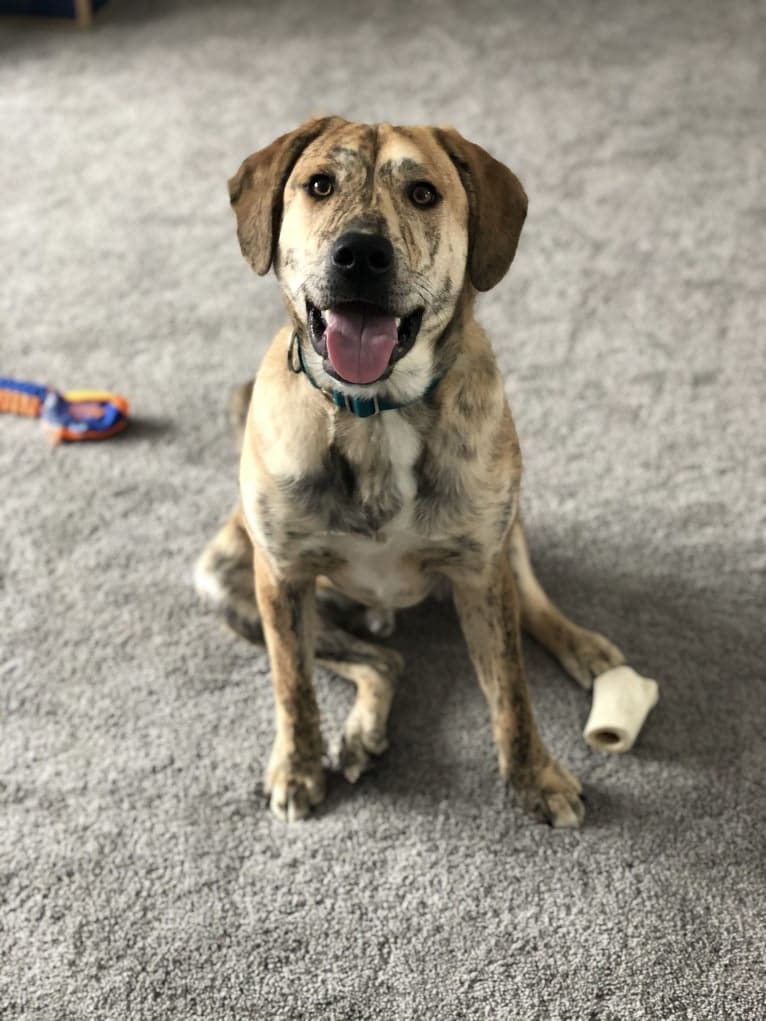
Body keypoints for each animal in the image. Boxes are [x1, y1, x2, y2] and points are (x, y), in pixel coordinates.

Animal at [196, 115, 625, 824]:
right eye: (320, 185)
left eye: (423, 193)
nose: (360, 255)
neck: (376, 413)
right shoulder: (279, 579)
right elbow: (294, 686)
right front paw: (298, 767)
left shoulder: (481, 570)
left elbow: (512, 692)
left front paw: (535, 777)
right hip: (225, 578)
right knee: (385, 662)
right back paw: (361, 731)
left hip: (508, 528)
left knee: (530, 603)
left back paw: (585, 647)